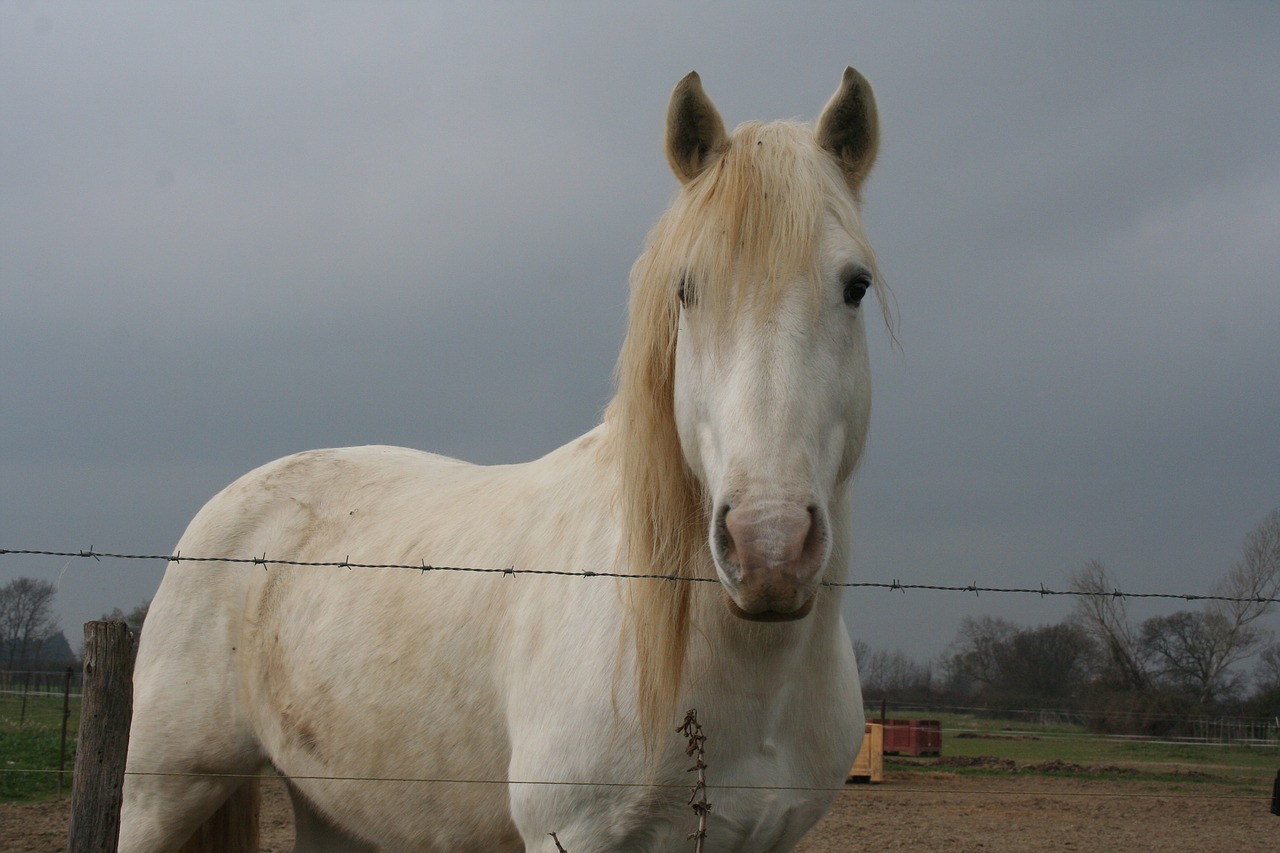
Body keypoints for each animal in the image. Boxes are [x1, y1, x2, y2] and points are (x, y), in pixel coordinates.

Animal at [124, 68, 896, 850]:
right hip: (163, 788)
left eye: (855, 286)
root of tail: (234, 498)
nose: (770, 547)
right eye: (686, 289)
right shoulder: (575, 833)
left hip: (332, 805)